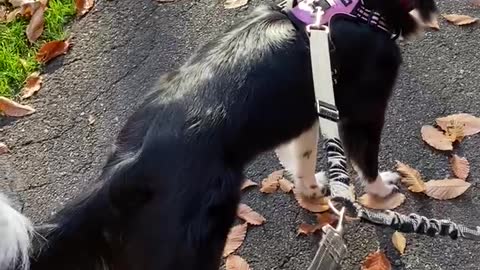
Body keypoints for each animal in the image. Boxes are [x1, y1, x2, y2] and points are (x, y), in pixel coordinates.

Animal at [0, 0, 436, 270]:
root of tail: (121, 173)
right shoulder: (364, 108)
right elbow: (366, 161)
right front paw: (384, 193)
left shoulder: (310, 110)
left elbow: (302, 159)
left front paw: (313, 192)